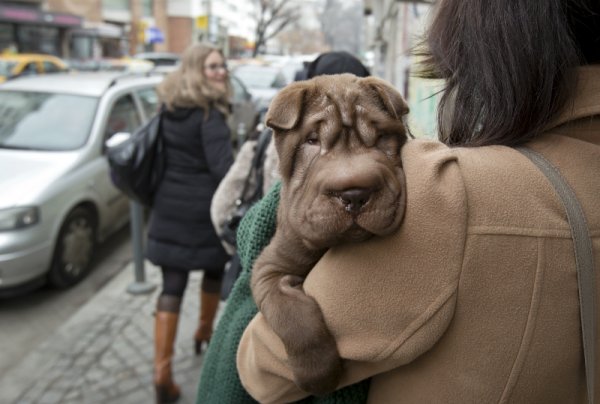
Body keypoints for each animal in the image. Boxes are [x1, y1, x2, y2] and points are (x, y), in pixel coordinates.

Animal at [248, 72, 408, 394]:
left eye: (381, 138)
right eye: (312, 141)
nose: (355, 194)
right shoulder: (270, 267)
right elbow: (292, 315)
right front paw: (318, 374)